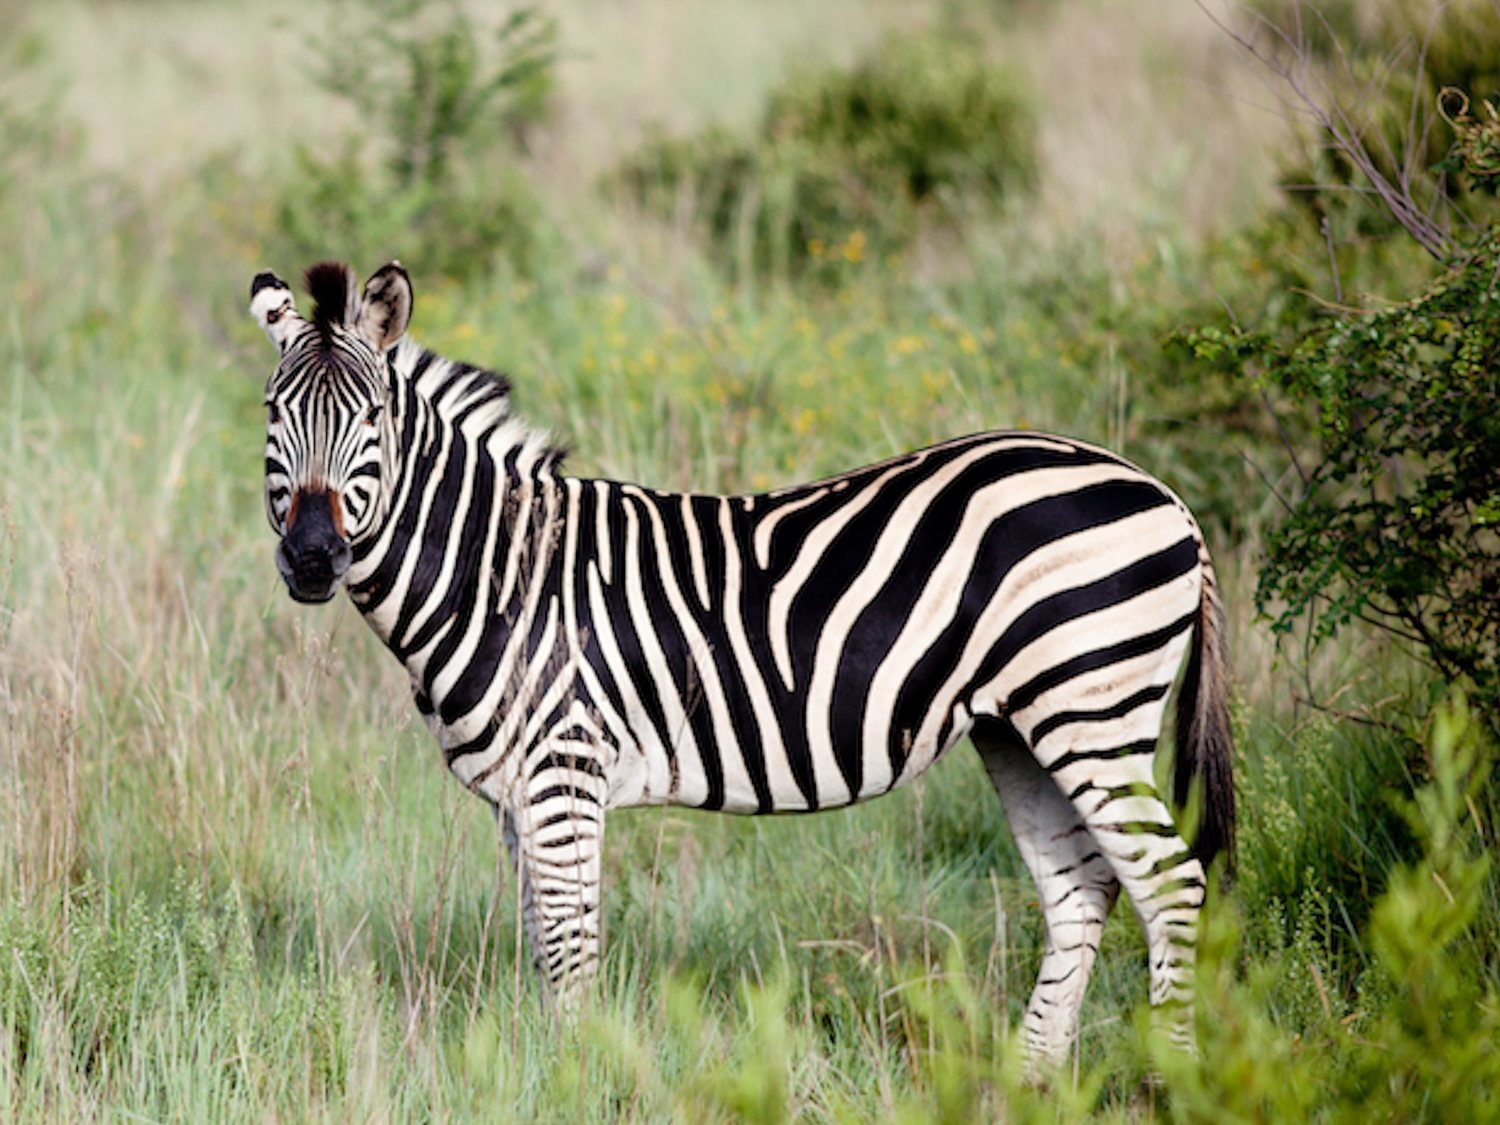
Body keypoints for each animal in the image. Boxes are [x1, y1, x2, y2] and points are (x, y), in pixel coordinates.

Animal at [249, 259, 1230, 1068]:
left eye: (371, 418)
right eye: (272, 414)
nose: (311, 558)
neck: (498, 569)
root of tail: (1165, 492)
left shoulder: (564, 772)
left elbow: (569, 954)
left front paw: (573, 1079)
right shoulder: (523, 798)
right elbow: (544, 945)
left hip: (1089, 706)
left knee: (1169, 883)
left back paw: (1177, 1079)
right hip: (1021, 726)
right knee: (1080, 889)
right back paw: (1032, 1082)